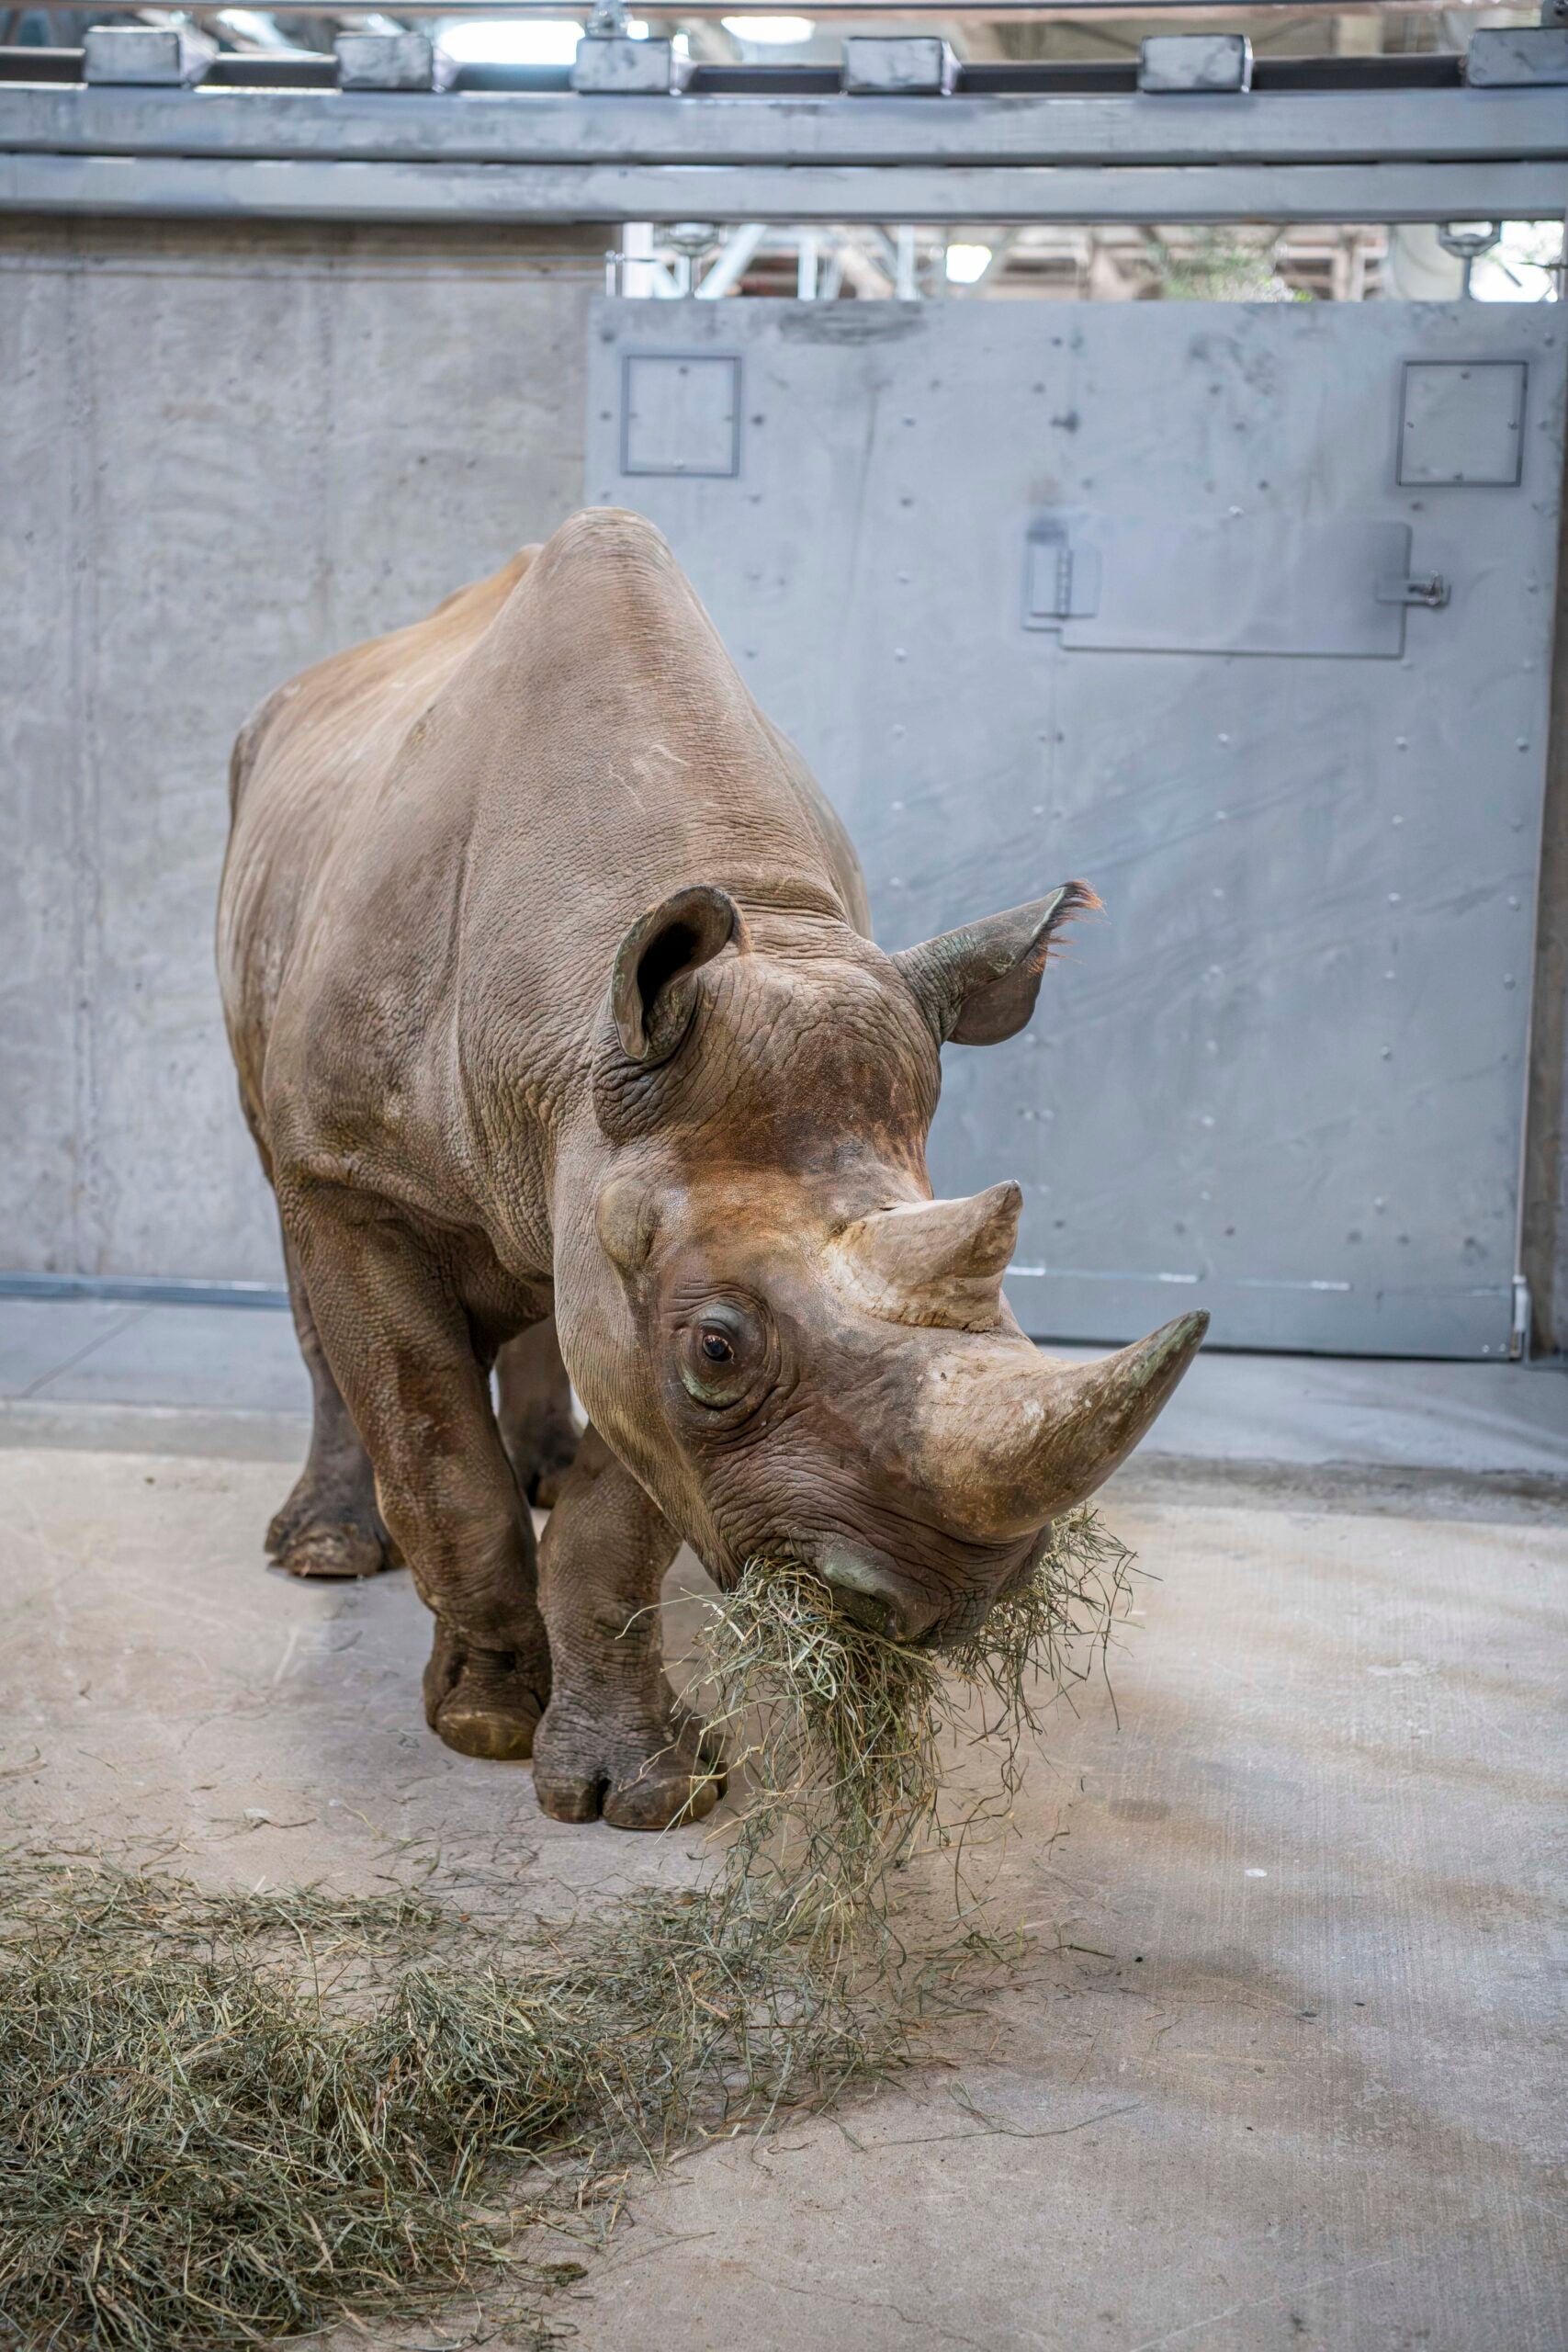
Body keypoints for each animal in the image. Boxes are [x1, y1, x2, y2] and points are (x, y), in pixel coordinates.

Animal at [218, 510, 1205, 1831]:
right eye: (718, 1351)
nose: (946, 1605)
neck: (566, 1029)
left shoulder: (624, 1190)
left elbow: (618, 1512)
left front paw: (640, 1790)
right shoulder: (356, 1172)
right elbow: (433, 1456)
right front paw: (482, 1720)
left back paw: (534, 1471)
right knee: (297, 1233)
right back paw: (326, 1554)